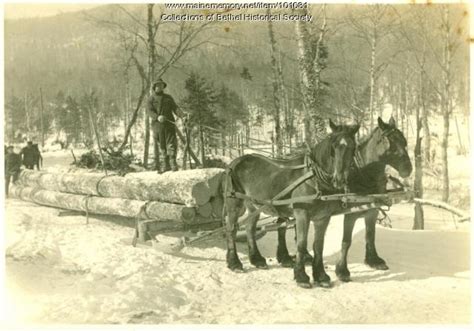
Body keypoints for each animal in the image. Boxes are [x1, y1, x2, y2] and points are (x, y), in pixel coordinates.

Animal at [222, 120, 360, 290]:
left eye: (353, 147)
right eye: (333, 147)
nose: (339, 180)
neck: (314, 178)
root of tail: (235, 162)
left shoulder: (323, 217)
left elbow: (318, 245)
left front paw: (321, 276)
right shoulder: (302, 214)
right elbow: (301, 243)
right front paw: (301, 276)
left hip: (254, 205)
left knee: (249, 228)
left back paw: (257, 259)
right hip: (234, 203)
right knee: (231, 229)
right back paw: (234, 262)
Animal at [276, 116, 412, 282]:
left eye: (404, 141)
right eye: (389, 142)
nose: (408, 169)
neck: (363, 175)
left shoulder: (372, 211)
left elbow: (370, 235)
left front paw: (373, 260)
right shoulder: (350, 213)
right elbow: (347, 241)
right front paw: (342, 270)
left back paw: (302, 256)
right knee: (281, 227)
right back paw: (284, 257)